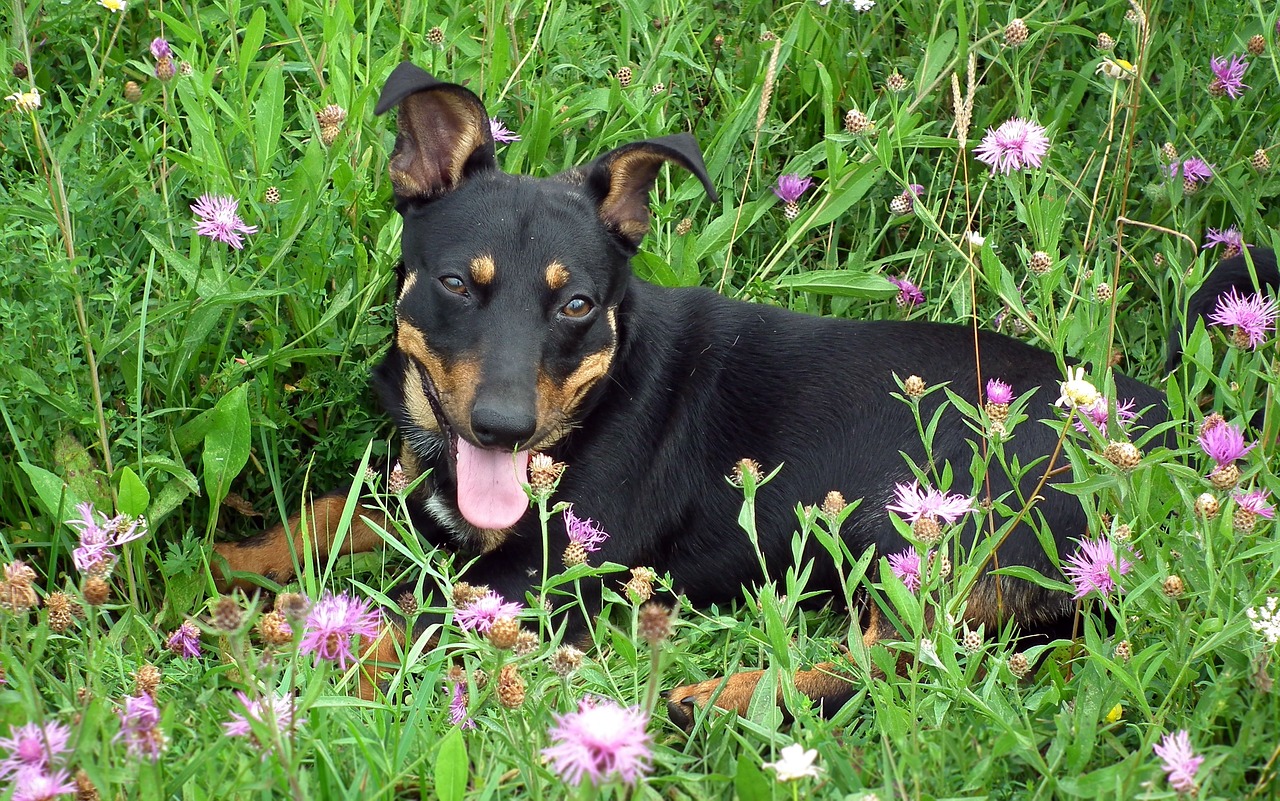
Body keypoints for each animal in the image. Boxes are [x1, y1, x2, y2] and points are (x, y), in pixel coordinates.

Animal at [215, 62, 1274, 721]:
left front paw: (266, 645)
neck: (597, 398)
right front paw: (217, 562)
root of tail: (1181, 440)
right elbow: (322, 513)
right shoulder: (422, 497)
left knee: (907, 661)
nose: (504, 429)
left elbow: (405, 616)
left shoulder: (539, 580)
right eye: (454, 284)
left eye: (578, 304)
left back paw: (720, 700)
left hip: (927, 523)